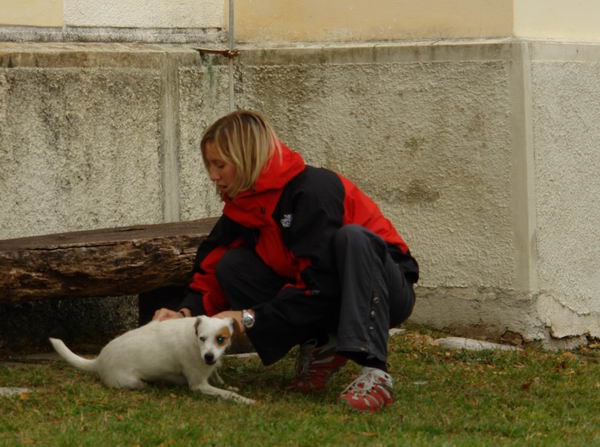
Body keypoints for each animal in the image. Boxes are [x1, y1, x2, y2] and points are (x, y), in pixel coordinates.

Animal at [48, 316, 252, 406]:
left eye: (221, 339)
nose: (208, 357)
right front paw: (245, 399)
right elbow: (226, 394)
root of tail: (98, 360)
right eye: (202, 338)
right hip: (130, 381)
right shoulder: (198, 385)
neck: (195, 341)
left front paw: (228, 385)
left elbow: (220, 381)